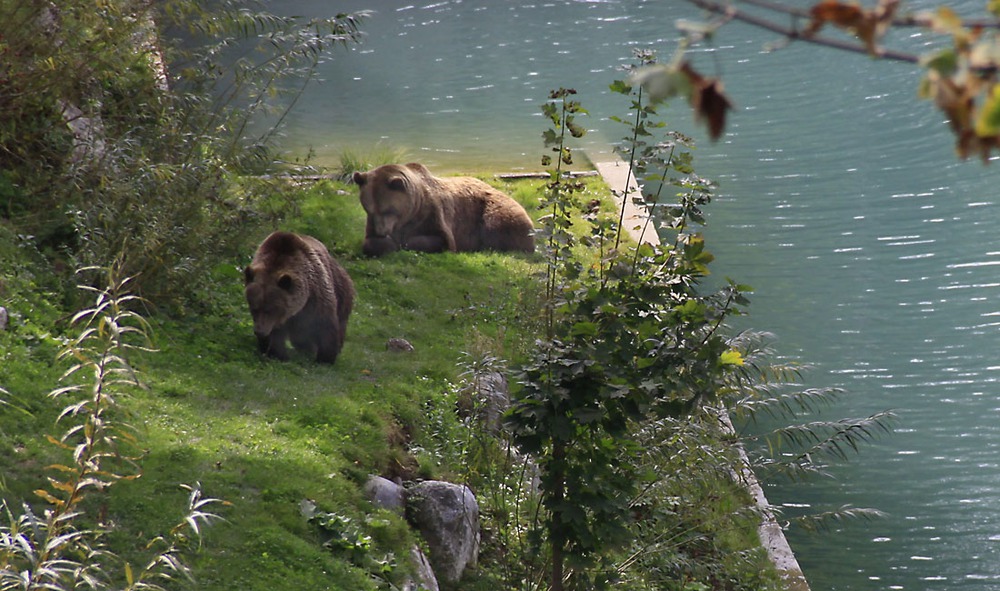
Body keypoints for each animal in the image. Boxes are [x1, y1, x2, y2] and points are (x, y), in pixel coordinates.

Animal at [243, 232, 356, 364]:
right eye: (254, 308)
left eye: (270, 310)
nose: (260, 332)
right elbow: (276, 335)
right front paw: (276, 353)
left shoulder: (316, 295)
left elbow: (326, 324)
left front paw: (325, 358)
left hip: (342, 290)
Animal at [356, 162, 536, 256]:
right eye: (369, 208)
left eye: (388, 209)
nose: (381, 231)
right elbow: (370, 241)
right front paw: (385, 243)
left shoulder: (433, 215)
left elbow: (440, 239)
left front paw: (404, 242)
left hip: (493, 211)